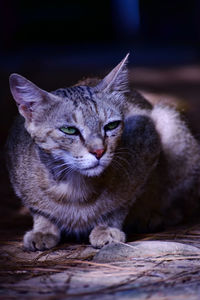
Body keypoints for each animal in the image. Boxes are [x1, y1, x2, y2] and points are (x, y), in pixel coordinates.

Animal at [6, 54, 200, 251]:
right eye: (69, 130)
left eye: (111, 125)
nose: (99, 151)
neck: (74, 186)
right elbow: (38, 209)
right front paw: (44, 229)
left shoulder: (146, 142)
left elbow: (121, 202)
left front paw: (107, 226)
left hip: (170, 125)